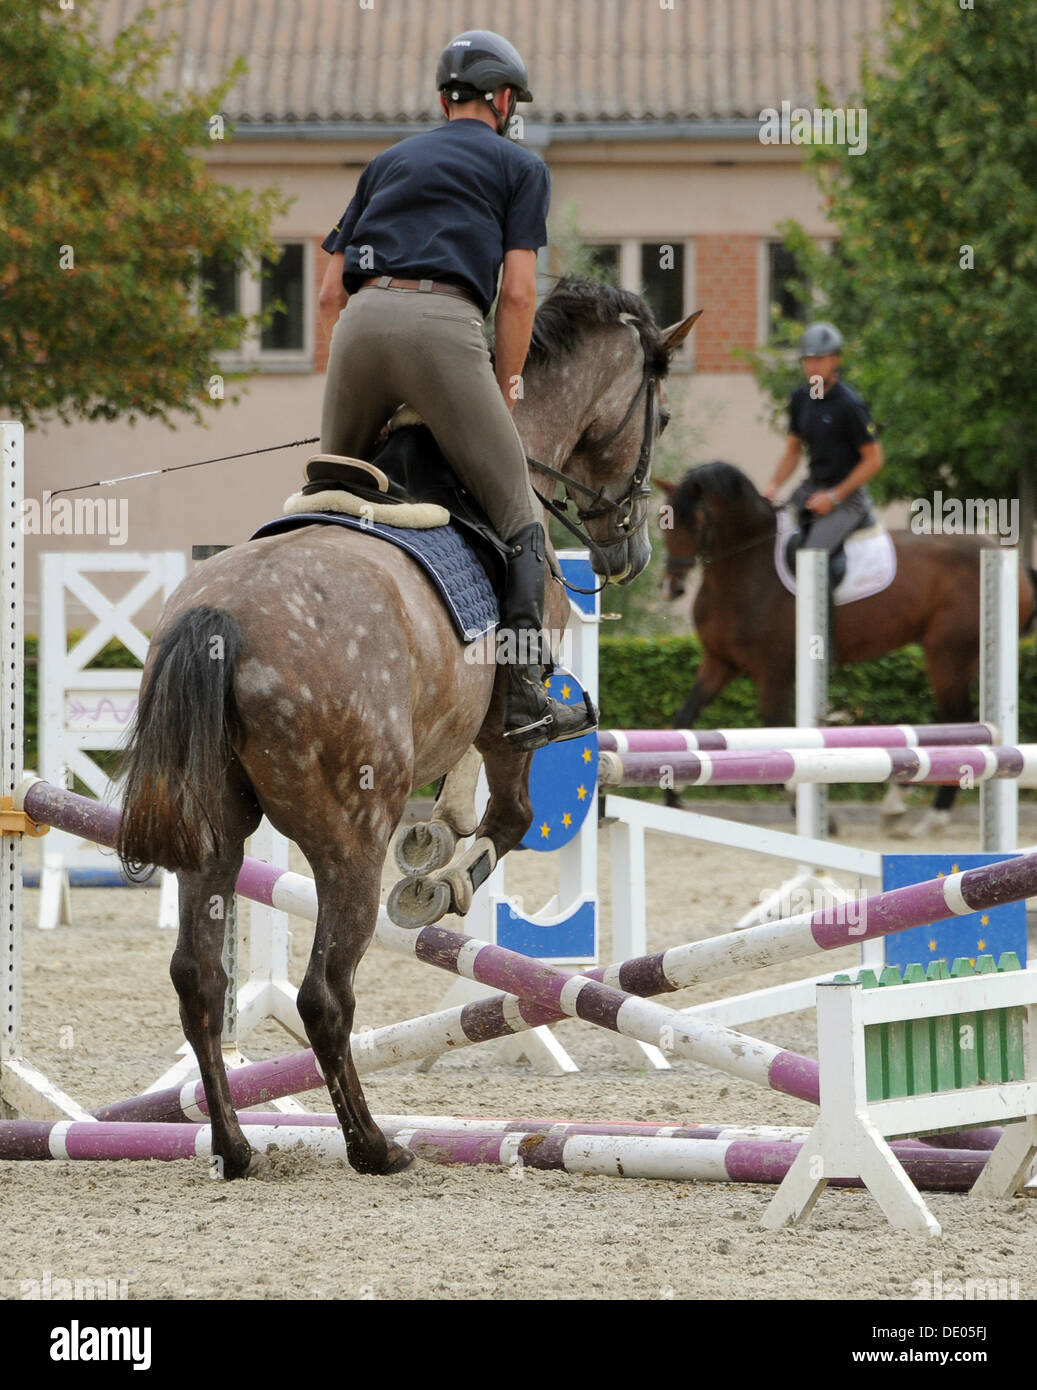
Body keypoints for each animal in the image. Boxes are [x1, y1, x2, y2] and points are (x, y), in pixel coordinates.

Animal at [111, 282, 695, 1184]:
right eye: (659, 417)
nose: (627, 552)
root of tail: (221, 622)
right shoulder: (508, 727)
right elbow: (511, 817)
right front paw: (438, 880)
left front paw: (434, 838)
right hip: (348, 835)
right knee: (324, 993)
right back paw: (372, 1145)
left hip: (213, 837)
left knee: (199, 981)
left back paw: (237, 1147)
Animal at [653, 461, 1034, 811]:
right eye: (663, 521)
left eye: (697, 521)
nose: (673, 587)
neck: (744, 569)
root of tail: (1008, 558)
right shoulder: (719, 661)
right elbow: (683, 722)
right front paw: (673, 795)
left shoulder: (774, 672)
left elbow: (778, 736)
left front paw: (806, 806)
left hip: (948, 654)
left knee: (957, 721)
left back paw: (926, 810)